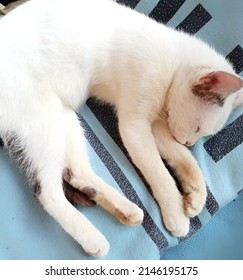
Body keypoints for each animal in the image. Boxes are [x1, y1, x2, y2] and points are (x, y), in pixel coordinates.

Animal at [0, 0, 242, 258]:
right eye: (198, 127)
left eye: (203, 134)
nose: (189, 142)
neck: (171, 63)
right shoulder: (134, 125)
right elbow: (159, 172)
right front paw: (176, 213)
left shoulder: (158, 124)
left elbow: (184, 158)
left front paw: (196, 193)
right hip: (43, 122)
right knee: (47, 192)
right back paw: (93, 238)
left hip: (65, 117)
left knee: (76, 173)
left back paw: (126, 210)